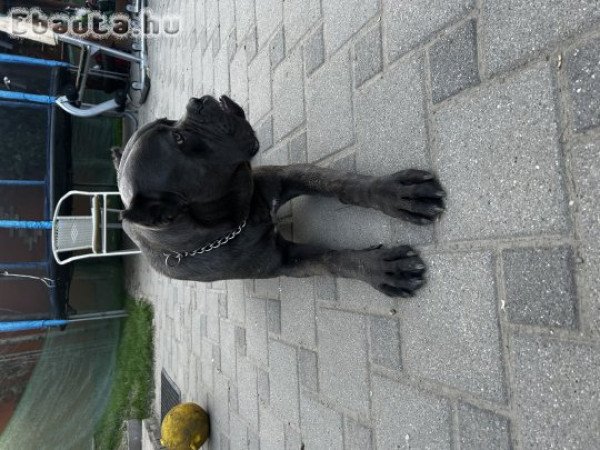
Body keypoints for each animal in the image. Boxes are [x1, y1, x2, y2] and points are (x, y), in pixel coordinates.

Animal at [112, 96, 446, 298]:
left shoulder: (286, 176)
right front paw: (381, 268)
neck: (236, 218)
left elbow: (341, 183)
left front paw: (396, 193)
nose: (197, 101)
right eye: (179, 139)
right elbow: (333, 259)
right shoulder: (284, 261)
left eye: (171, 123)